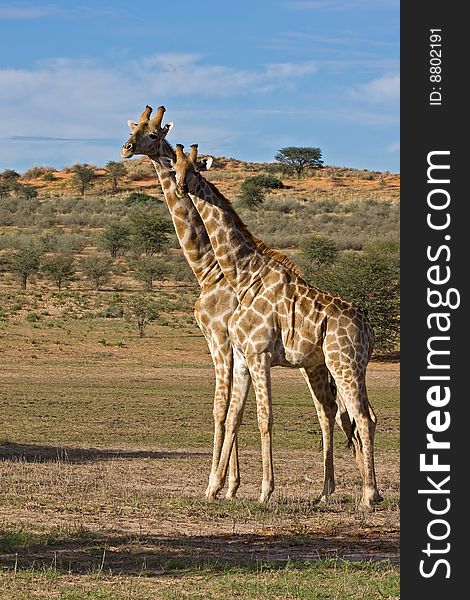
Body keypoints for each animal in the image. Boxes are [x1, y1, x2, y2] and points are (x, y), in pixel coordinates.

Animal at [121, 106, 356, 502]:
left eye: (152, 134)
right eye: (134, 127)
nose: (125, 148)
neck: (208, 268)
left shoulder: (220, 339)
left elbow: (222, 409)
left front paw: (220, 485)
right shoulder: (232, 346)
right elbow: (233, 410)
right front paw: (231, 486)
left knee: (335, 411)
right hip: (315, 364)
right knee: (332, 411)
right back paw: (328, 490)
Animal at [171, 143, 380, 508]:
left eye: (195, 169)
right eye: (176, 167)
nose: (182, 187)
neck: (243, 277)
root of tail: (369, 330)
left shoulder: (260, 354)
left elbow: (264, 418)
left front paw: (265, 491)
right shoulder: (242, 357)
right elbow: (234, 416)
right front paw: (215, 488)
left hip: (345, 364)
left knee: (363, 419)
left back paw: (367, 497)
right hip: (340, 366)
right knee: (353, 416)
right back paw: (340, 493)